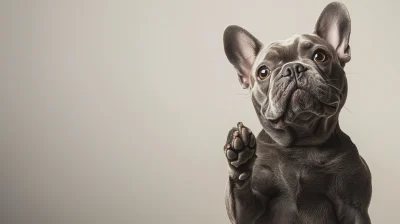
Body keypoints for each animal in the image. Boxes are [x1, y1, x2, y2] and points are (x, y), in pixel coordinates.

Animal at [222, 1, 372, 224]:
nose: (292, 68)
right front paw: (241, 157)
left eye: (320, 56)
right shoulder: (246, 211)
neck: (302, 143)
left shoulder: (354, 207)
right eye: (263, 72)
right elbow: (240, 194)